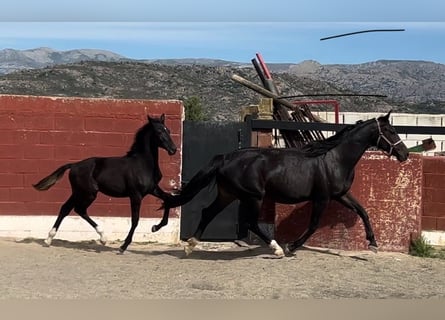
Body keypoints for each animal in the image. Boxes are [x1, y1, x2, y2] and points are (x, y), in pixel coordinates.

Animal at [33, 114, 176, 251]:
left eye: (168, 130)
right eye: (159, 131)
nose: (173, 149)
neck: (143, 164)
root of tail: (74, 165)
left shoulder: (153, 189)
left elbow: (168, 199)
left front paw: (156, 227)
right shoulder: (136, 195)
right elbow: (135, 220)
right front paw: (123, 246)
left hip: (78, 192)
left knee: (66, 208)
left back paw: (49, 239)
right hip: (88, 193)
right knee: (79, 209)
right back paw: (103, 237)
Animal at [154, 111, 408, 256]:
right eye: (390, 130)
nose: (405, 154)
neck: (335, 159)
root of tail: (226, 157)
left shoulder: (340, 195)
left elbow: (363, 212)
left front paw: (373, 243)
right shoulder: (322, 198)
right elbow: (313, 225)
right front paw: (291, 247)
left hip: (229, 194)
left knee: (208, 212)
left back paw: (190, 245)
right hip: (253, 197)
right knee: (251, 222)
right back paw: (276, 248)